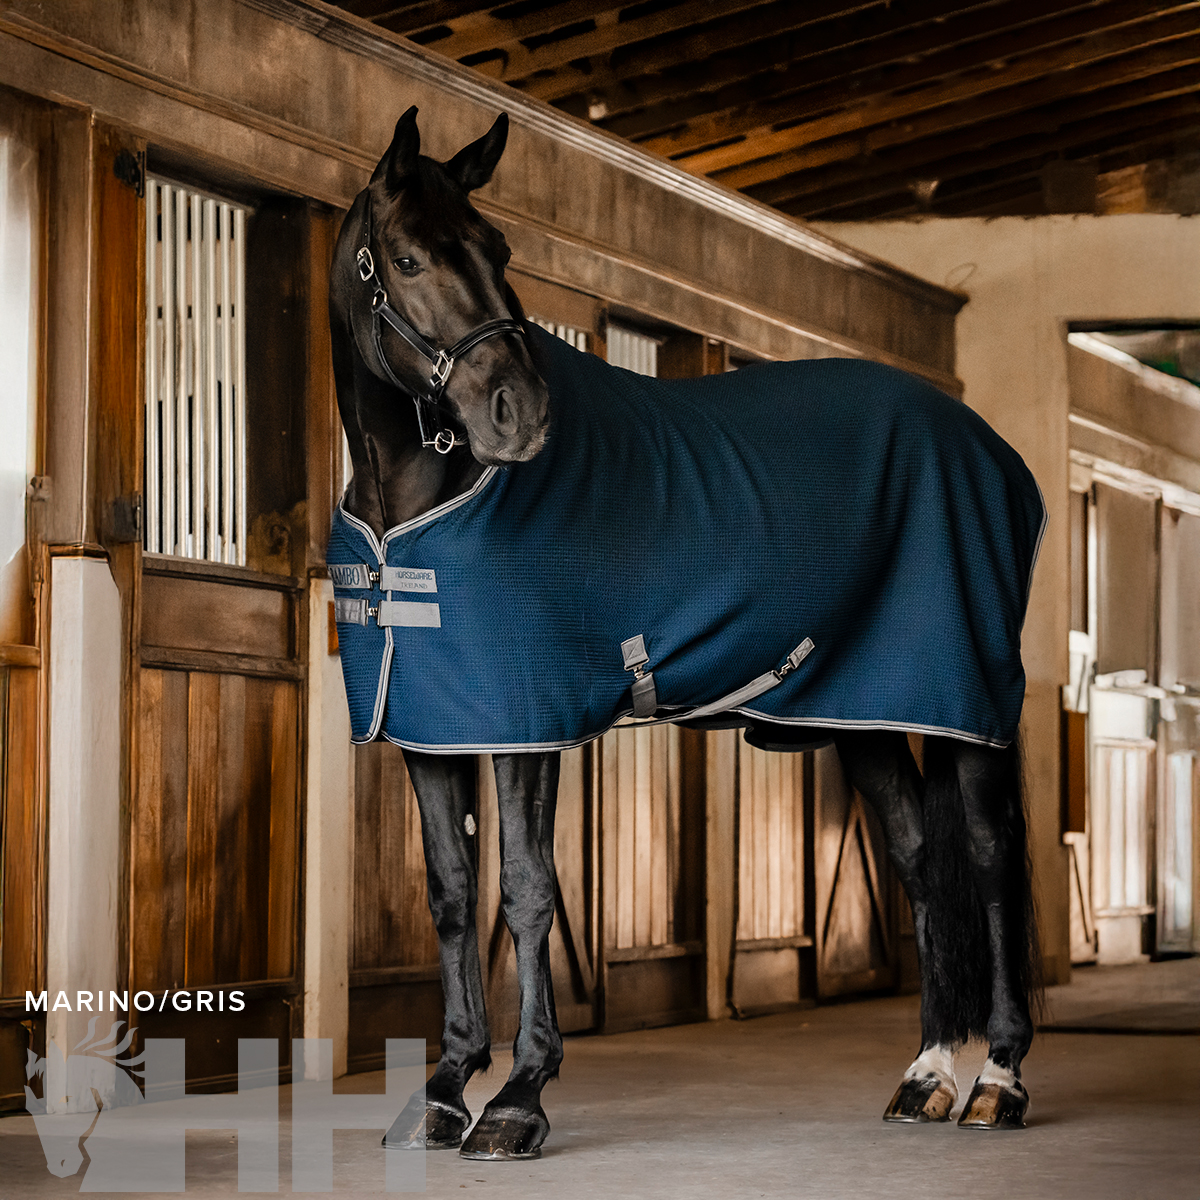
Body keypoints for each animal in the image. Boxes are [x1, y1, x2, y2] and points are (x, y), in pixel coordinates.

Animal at [327, 106, 1044, 1161]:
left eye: (499, 249)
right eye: (410, 259)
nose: (522, 415)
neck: (418, 503)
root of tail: (988, 447)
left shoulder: (526, 721)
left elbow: (528, 891)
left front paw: (517, 1098)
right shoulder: (432, 726)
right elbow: (454, 896)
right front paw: (448, 1088)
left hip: (965, 702)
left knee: (990, 864)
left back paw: (998, 1079)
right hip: (868, 712)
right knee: (919, 862)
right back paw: (925, 1076)